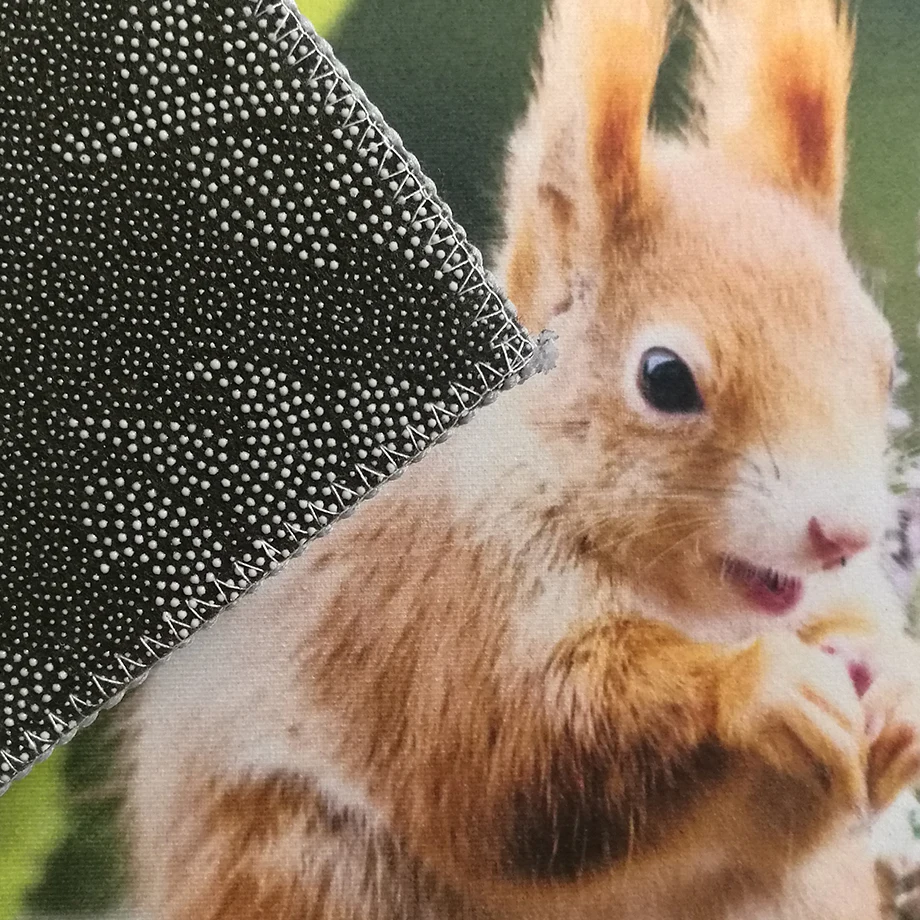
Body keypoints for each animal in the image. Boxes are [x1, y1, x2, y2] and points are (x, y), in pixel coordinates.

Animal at [125, 0, 920, 918]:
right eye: (664, 378)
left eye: (885, 364)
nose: (844, 533)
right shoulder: (438, 604)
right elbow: (518, 764)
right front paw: (756, 685)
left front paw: (900, 685)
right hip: (311, 868)